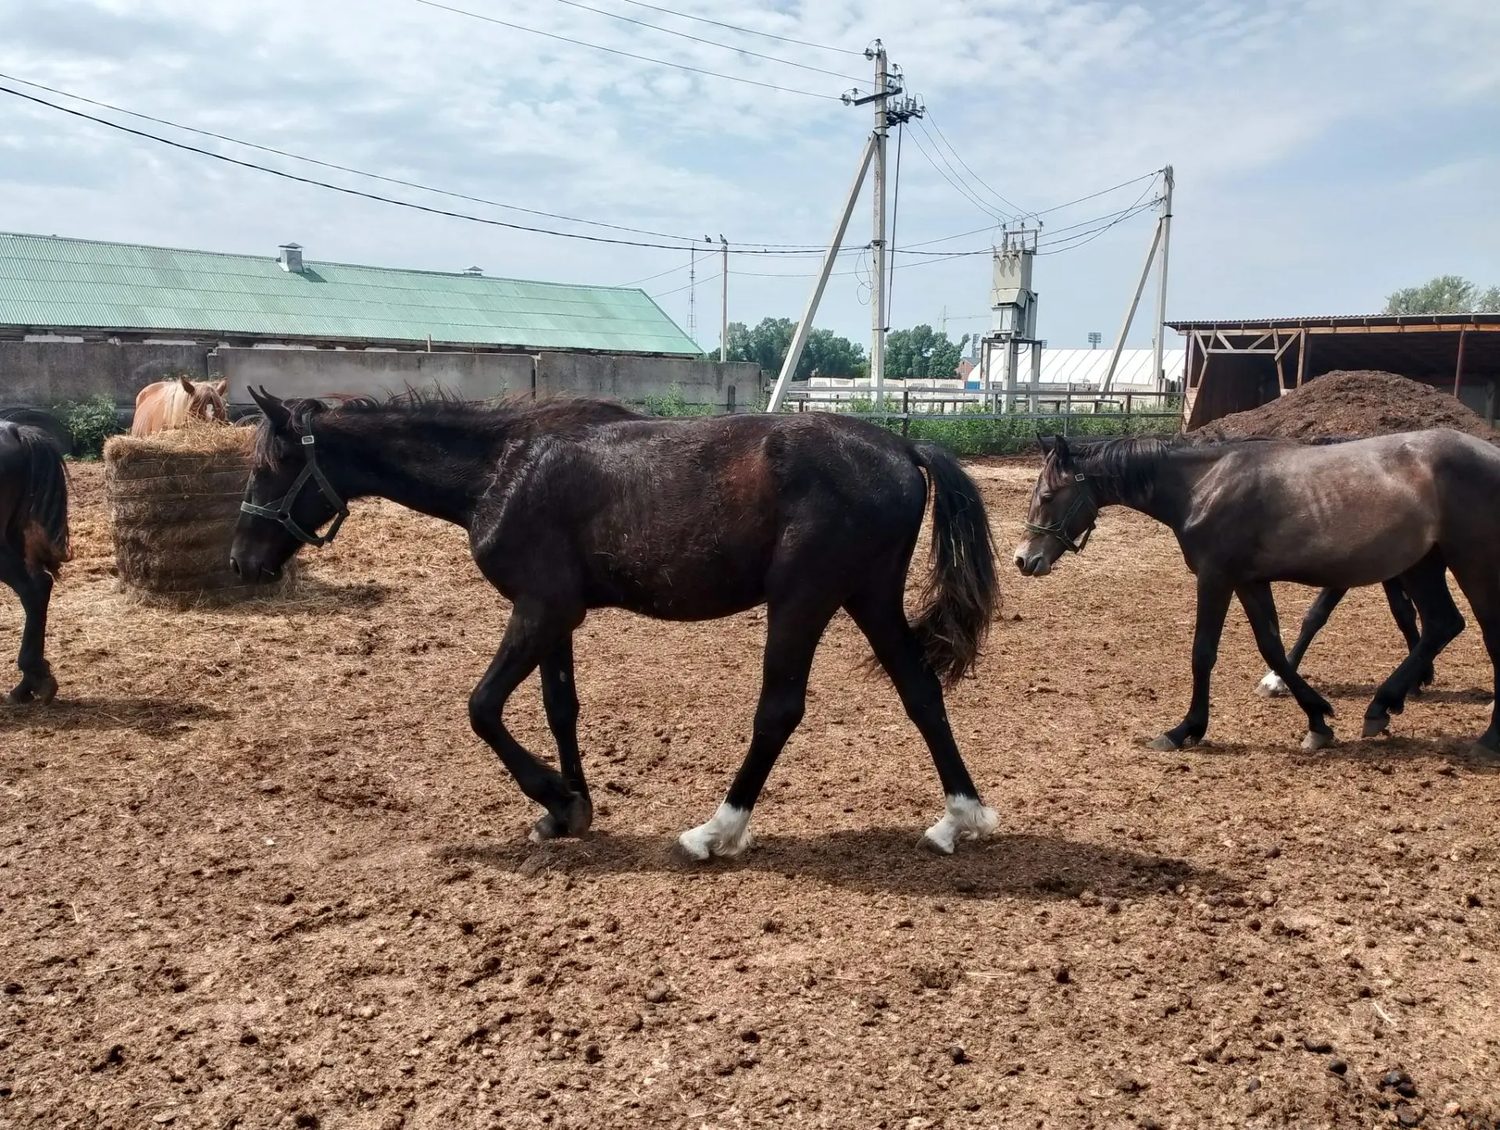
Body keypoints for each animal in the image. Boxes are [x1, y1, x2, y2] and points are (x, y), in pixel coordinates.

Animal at [229, 388, 1003, 856]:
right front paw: (570, 807)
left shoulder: (541, 609)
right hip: (867, 597)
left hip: (804, 600)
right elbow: (559, 706)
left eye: (272, 465)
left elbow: (482, 707)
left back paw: (715, 831)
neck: (501, 469)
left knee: (779, 711)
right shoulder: (554, 617)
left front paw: (552, 793)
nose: (242, 563)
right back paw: (958, 818)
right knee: (920, 692)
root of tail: (903, 449)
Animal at [1012, 430, 1500, 759]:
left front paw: (1184, 729)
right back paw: (1382, 705)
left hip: (1471, 563)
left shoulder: (1216, 577)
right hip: (1423, 565)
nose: (1024, 559)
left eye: (1049, 494)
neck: (1204, 485)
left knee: (1481, 636)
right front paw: (1317, 719)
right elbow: (1273, 648)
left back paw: (1485, 737)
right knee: (1441, 624)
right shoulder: (1249, 581)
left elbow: (1203, 652)